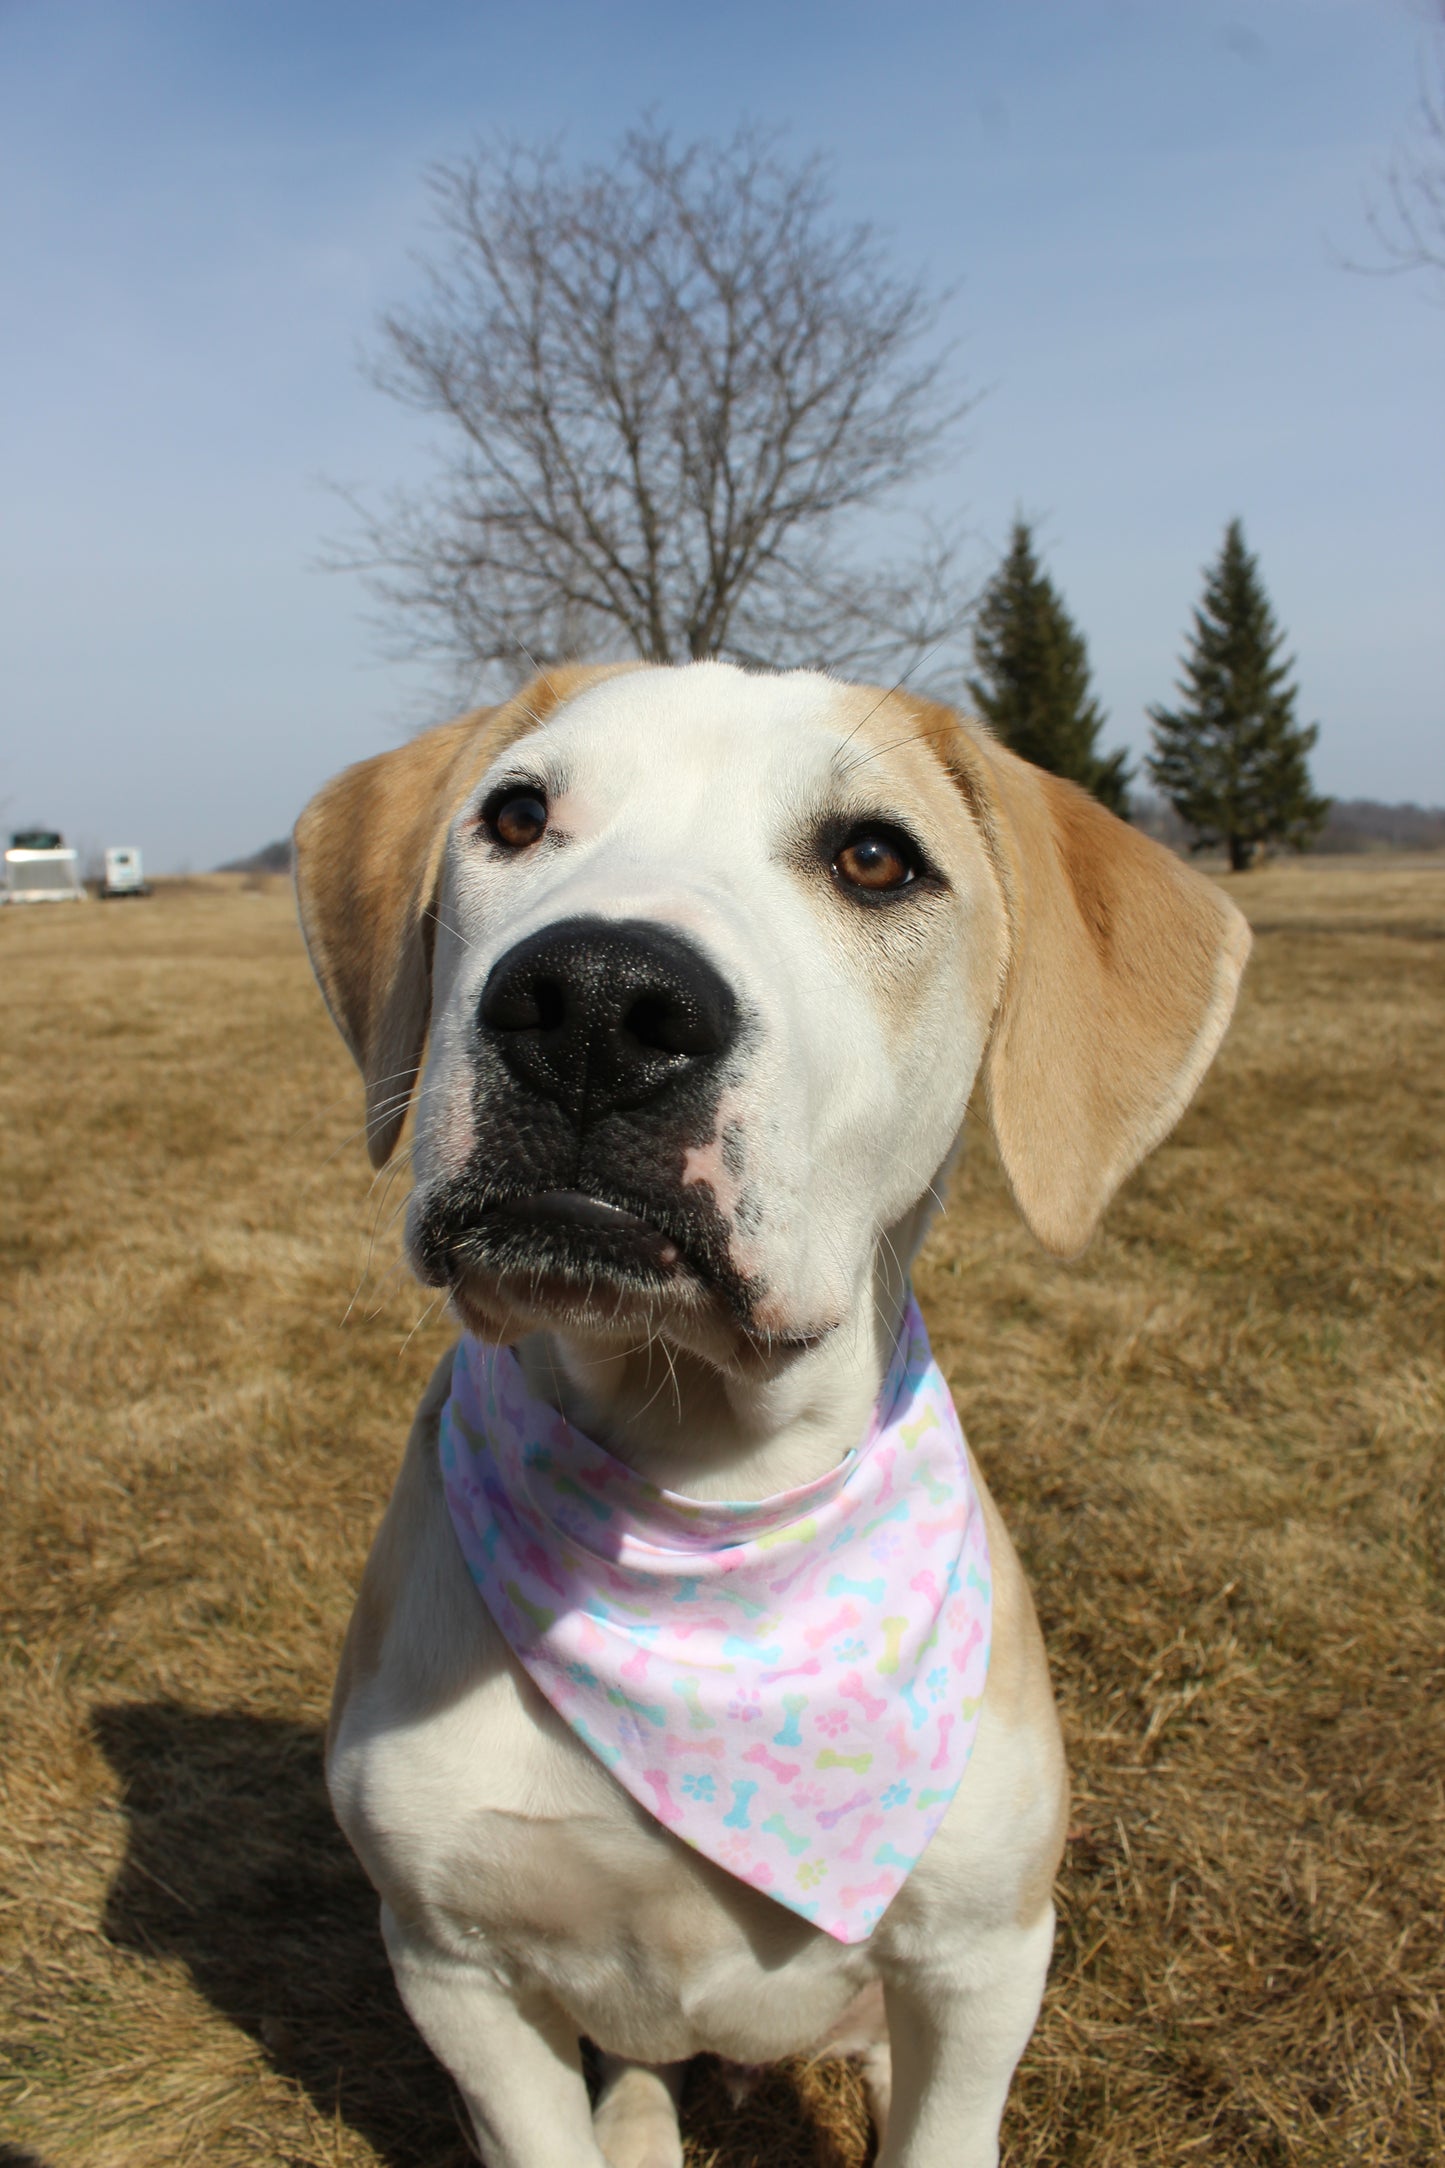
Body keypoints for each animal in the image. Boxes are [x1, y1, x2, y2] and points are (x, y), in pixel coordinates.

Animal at [296, 663, 1256, 2168]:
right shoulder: (451, 1964)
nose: (595, 999)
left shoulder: (985, 1957)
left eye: (873, 858)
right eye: (514, 816)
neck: (703, 1499)